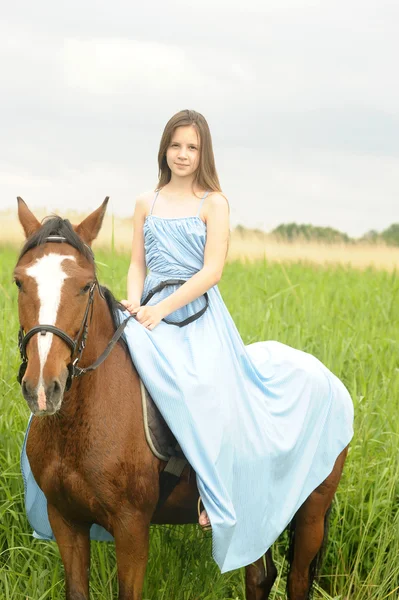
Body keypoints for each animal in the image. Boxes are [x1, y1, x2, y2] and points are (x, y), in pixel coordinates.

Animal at [14, 198, 348, 600]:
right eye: (19, 281)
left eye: (85, 286)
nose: (43, 389)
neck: (79, 423)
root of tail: (327, 376)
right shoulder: (65, 519)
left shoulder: (131, 527)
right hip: (260, 516)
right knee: (259, 575)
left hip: (312, 511)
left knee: (296, 581)